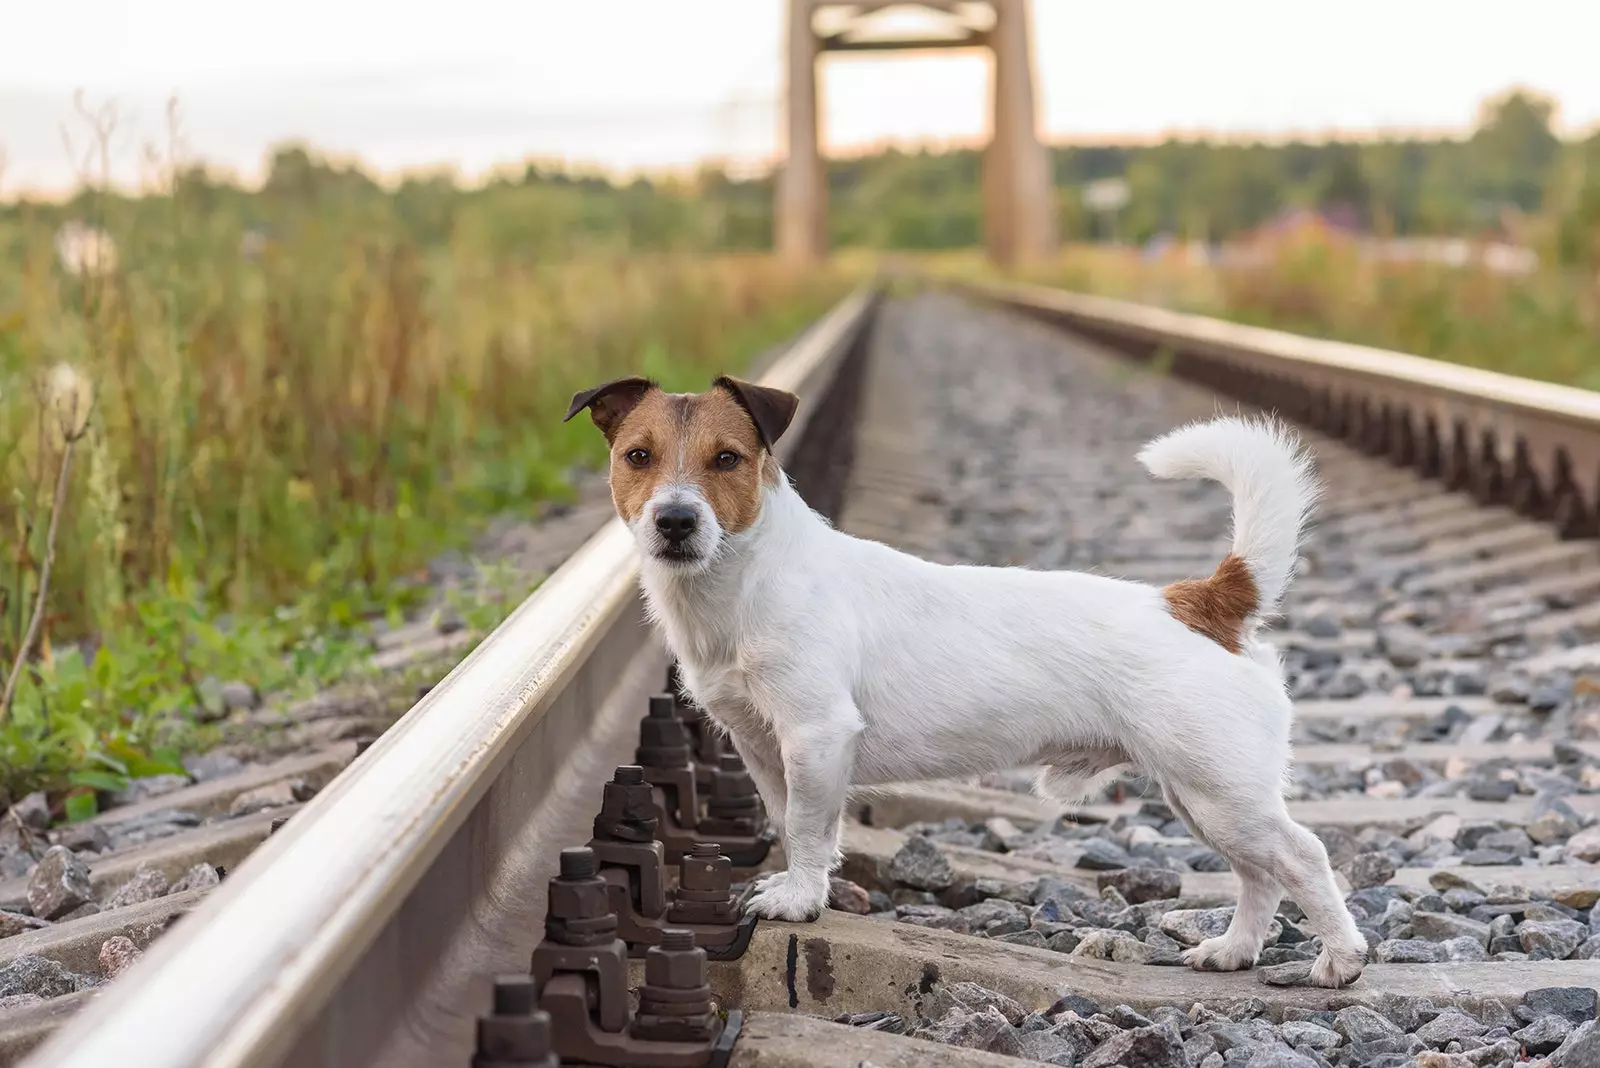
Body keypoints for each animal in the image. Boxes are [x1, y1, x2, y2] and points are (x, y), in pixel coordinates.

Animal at [563, 374, 1363, 984]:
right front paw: (798, 885)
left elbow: (809, 829)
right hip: (1202, 797)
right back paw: (1233, 951)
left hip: (1220, 791)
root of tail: (1203, 600)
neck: (747, 578)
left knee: (1301, 856)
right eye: (638, 456)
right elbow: (790, 824)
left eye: (726, 459)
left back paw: (1341, 960)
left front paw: (799, 901)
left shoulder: (818, 736)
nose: (674, 520)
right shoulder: (764, 750)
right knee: (1260, 873)